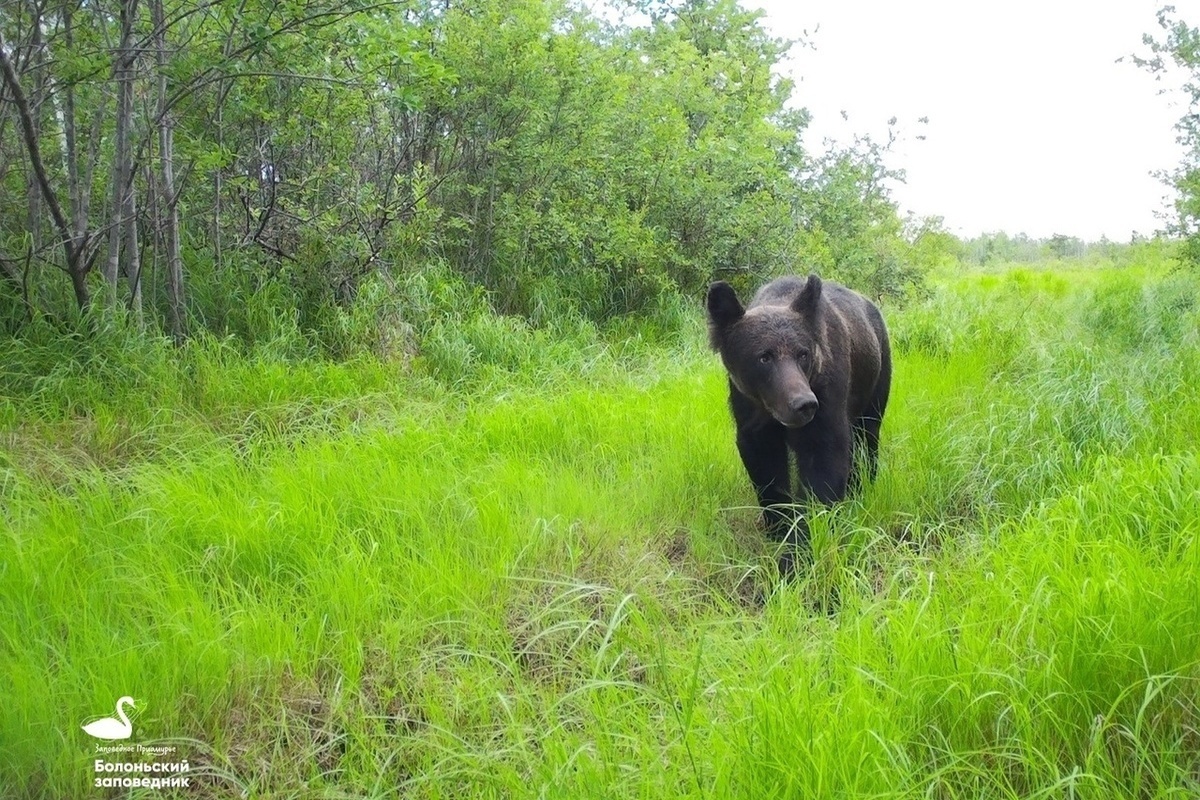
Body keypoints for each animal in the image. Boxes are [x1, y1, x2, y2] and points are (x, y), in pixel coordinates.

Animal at [700, 275, 892, 556]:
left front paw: (799, 549)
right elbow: (766, 467)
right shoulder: (750, 410)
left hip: (875, 377)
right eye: (764, 357)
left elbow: (823, 463)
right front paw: (778, 527)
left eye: (803, 353)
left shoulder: (827, 396)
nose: (803, 404)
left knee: (867, 436)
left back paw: (861, 486)